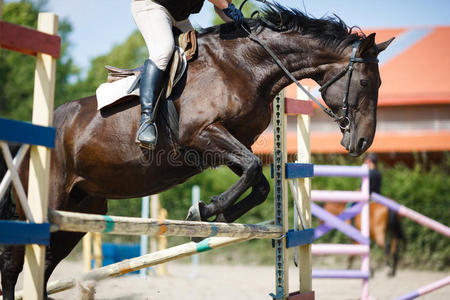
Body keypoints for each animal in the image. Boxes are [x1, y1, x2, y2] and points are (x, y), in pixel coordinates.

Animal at [0, 5, 392, 298]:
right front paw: (202, 212)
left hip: (82, 209)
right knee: (15, 262)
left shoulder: (223, 144)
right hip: (45, 199)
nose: (362, 143)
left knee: (46, 263)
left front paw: (212, 216)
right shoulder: (202, 134)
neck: (248, 65)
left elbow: (260, 181)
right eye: (365, 82)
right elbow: (253, 168)